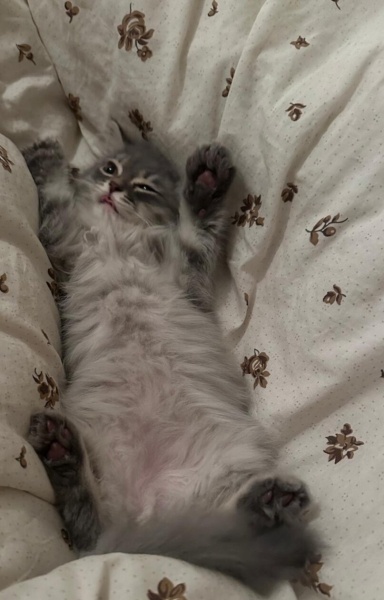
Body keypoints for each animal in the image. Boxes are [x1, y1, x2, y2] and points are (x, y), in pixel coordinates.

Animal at [22, 137, 320, 596]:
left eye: (144, 187)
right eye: (110, 169)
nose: (115, 189)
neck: (118, 236)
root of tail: (147, 517)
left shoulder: (186, 272)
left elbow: (195, 229)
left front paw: (206, 183)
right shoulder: (62, 242)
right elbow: (54, 196)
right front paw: (45, 157)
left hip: (226, 466)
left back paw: (271, 501)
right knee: (87, 521)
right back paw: (60, 449)